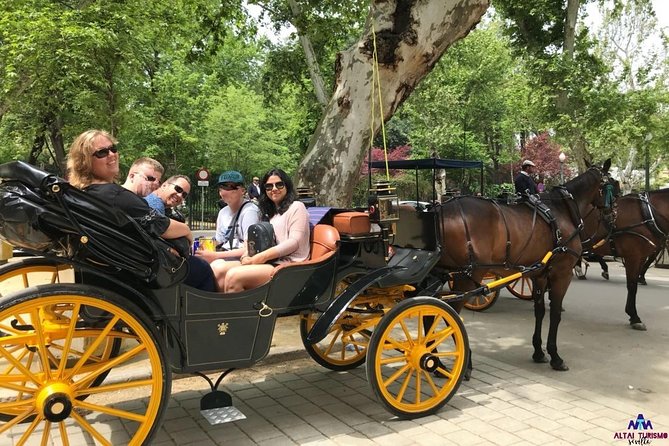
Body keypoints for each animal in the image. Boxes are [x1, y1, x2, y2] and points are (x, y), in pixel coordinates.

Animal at [436, 159, 612, 372]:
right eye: (612, 184)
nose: (612, 215)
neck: (562, 211)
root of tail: (443, 209)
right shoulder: (562, 273)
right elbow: (555, 313)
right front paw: (555, 356)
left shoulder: (540, 275)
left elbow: (540, 310)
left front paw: (538, 352)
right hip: (467, 276)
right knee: (449, 312)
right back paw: (460, 362)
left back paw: (436, 362)